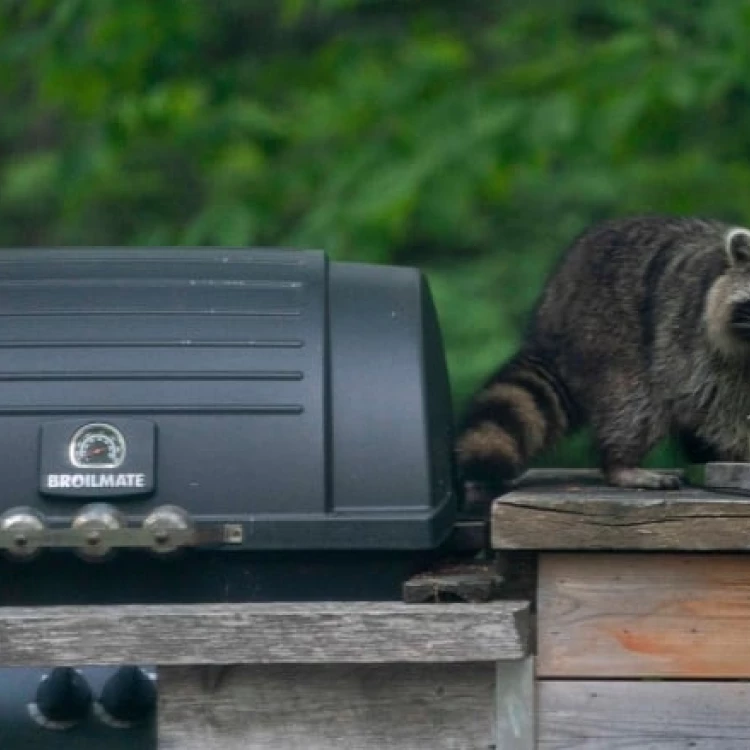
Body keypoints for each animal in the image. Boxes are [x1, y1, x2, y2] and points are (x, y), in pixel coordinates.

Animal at [458, 216, 750, 494]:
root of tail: (551, 309)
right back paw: (621, 464)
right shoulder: (697, 342)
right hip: (608, 334)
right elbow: (717, 402)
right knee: (634, 405)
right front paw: (740, 449)